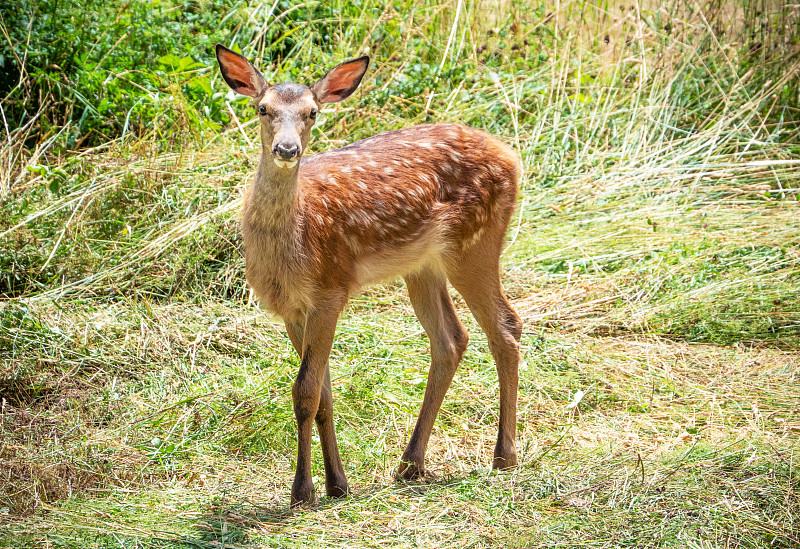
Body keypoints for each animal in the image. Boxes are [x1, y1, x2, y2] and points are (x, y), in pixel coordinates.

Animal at [216, 42, 520, 506]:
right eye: (262, 108)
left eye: (312, 112)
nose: (287, 149)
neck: (293, 243)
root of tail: (511, 155)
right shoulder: (292, 309)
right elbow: (322, 393)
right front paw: (337, 483)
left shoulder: (330, 289)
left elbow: (304, 392)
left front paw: (302, 490)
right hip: (422, 266)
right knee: (451, 339)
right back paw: (411, 463)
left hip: (475, 242)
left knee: (506, 326)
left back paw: (504, 456)